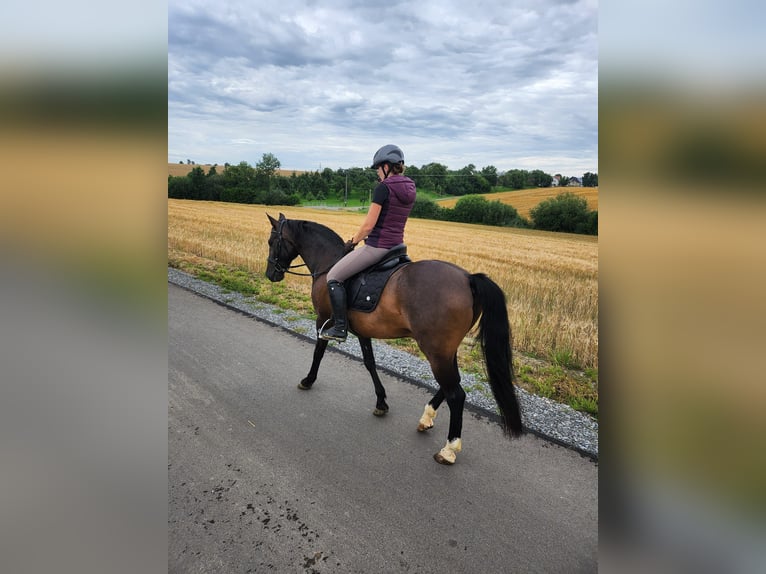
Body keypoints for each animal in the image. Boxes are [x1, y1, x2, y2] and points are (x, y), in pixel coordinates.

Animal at [264, 214, 520, 466]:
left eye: (271, 242)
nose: (270, 274)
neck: (329, 261)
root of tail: (468, 278)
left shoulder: (323, 320)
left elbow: (318, 352)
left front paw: (308, 380)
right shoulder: (363, 331)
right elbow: (370, 363)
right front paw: (381, 402)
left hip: (435, 350)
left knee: (456, 394)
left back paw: (449, 449)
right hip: (445, 350)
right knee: (452, 384)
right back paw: (426, 417)